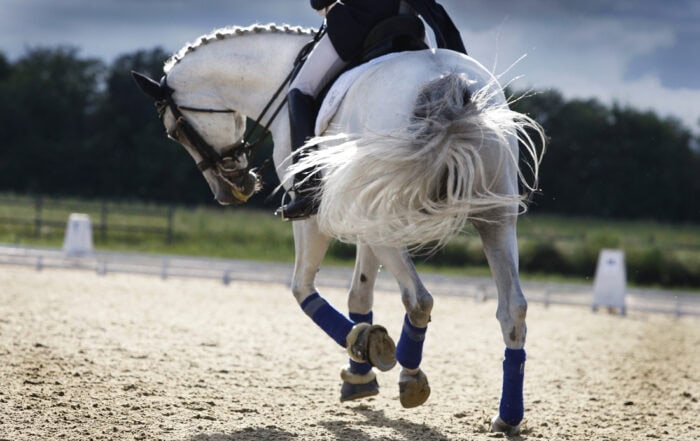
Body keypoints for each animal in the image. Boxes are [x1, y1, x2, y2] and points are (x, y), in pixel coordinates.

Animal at [132, 23, 544, 436]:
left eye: (174, 132)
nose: (230, 192)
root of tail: (447, 82)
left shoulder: (312, 218)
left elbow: (302, 289)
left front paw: (364, 347)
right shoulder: (362, 221)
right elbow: (359, 296)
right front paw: (360, 372)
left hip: (385, 213)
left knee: (419, 298)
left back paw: (410, 376)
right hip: (493, 217)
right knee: (512, 310)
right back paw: (507, 417)